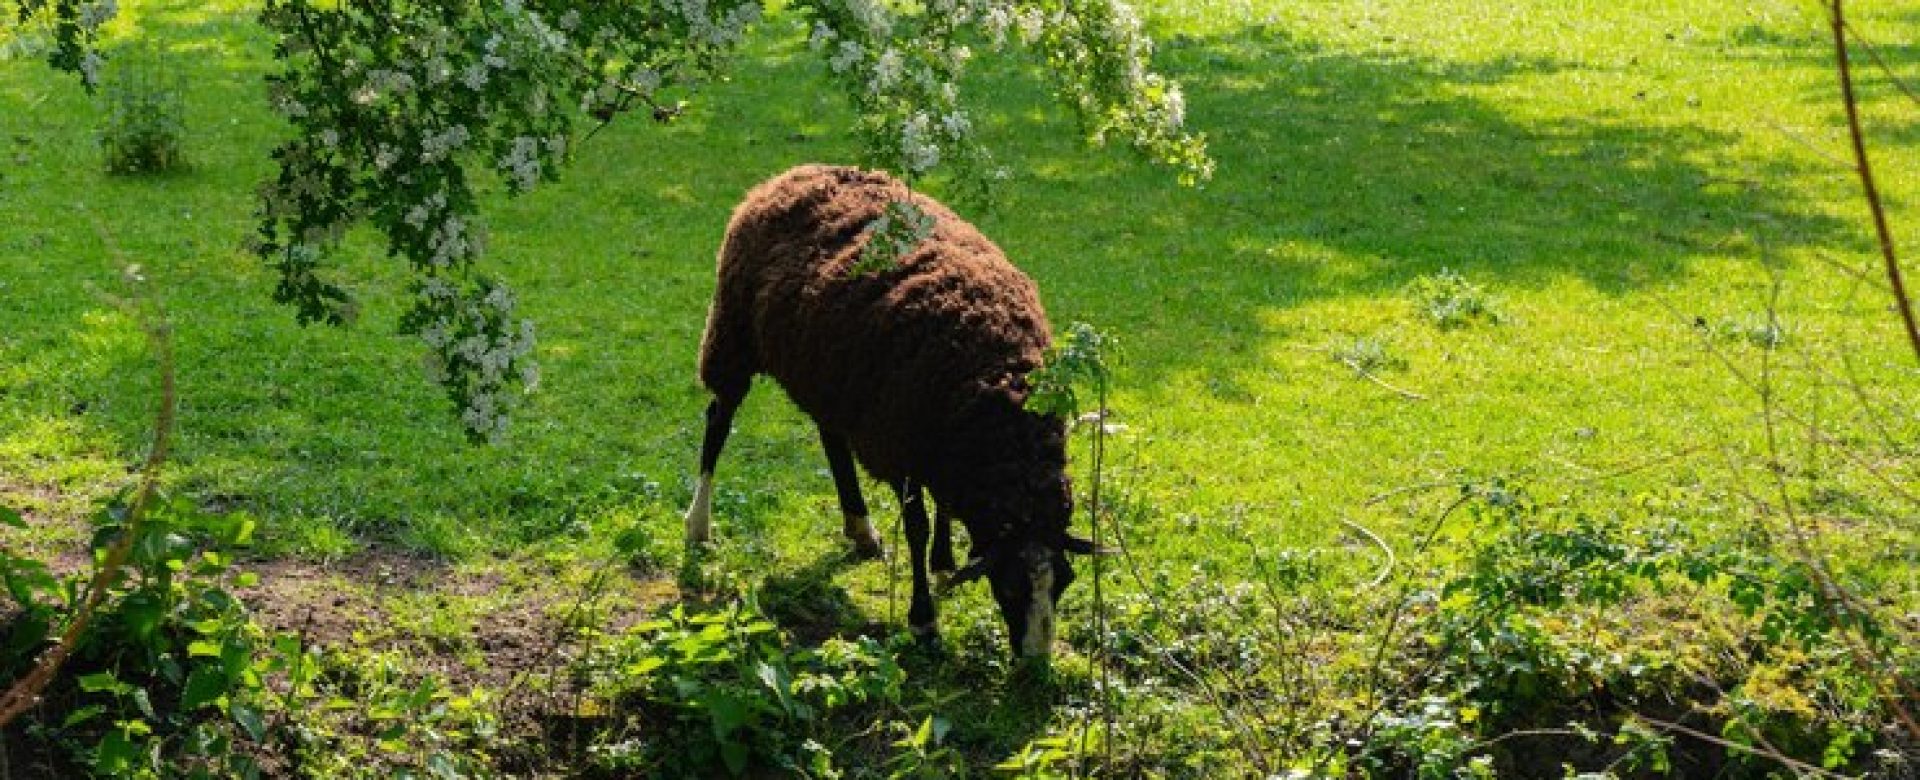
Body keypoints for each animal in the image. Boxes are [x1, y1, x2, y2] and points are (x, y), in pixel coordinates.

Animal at [687, 164, 1098, 657]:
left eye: (1065, 581)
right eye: (1012, 587)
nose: (1036, 662)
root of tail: (793, 174)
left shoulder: (940, 440)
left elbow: (943, 506)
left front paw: (944, 563)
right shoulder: (902, 445)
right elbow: (917, 527)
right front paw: (923, 619)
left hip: (830, 375)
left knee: (832, 439)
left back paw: (860, 527)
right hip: (733, 333)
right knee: (718, 421)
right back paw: (698, 525)